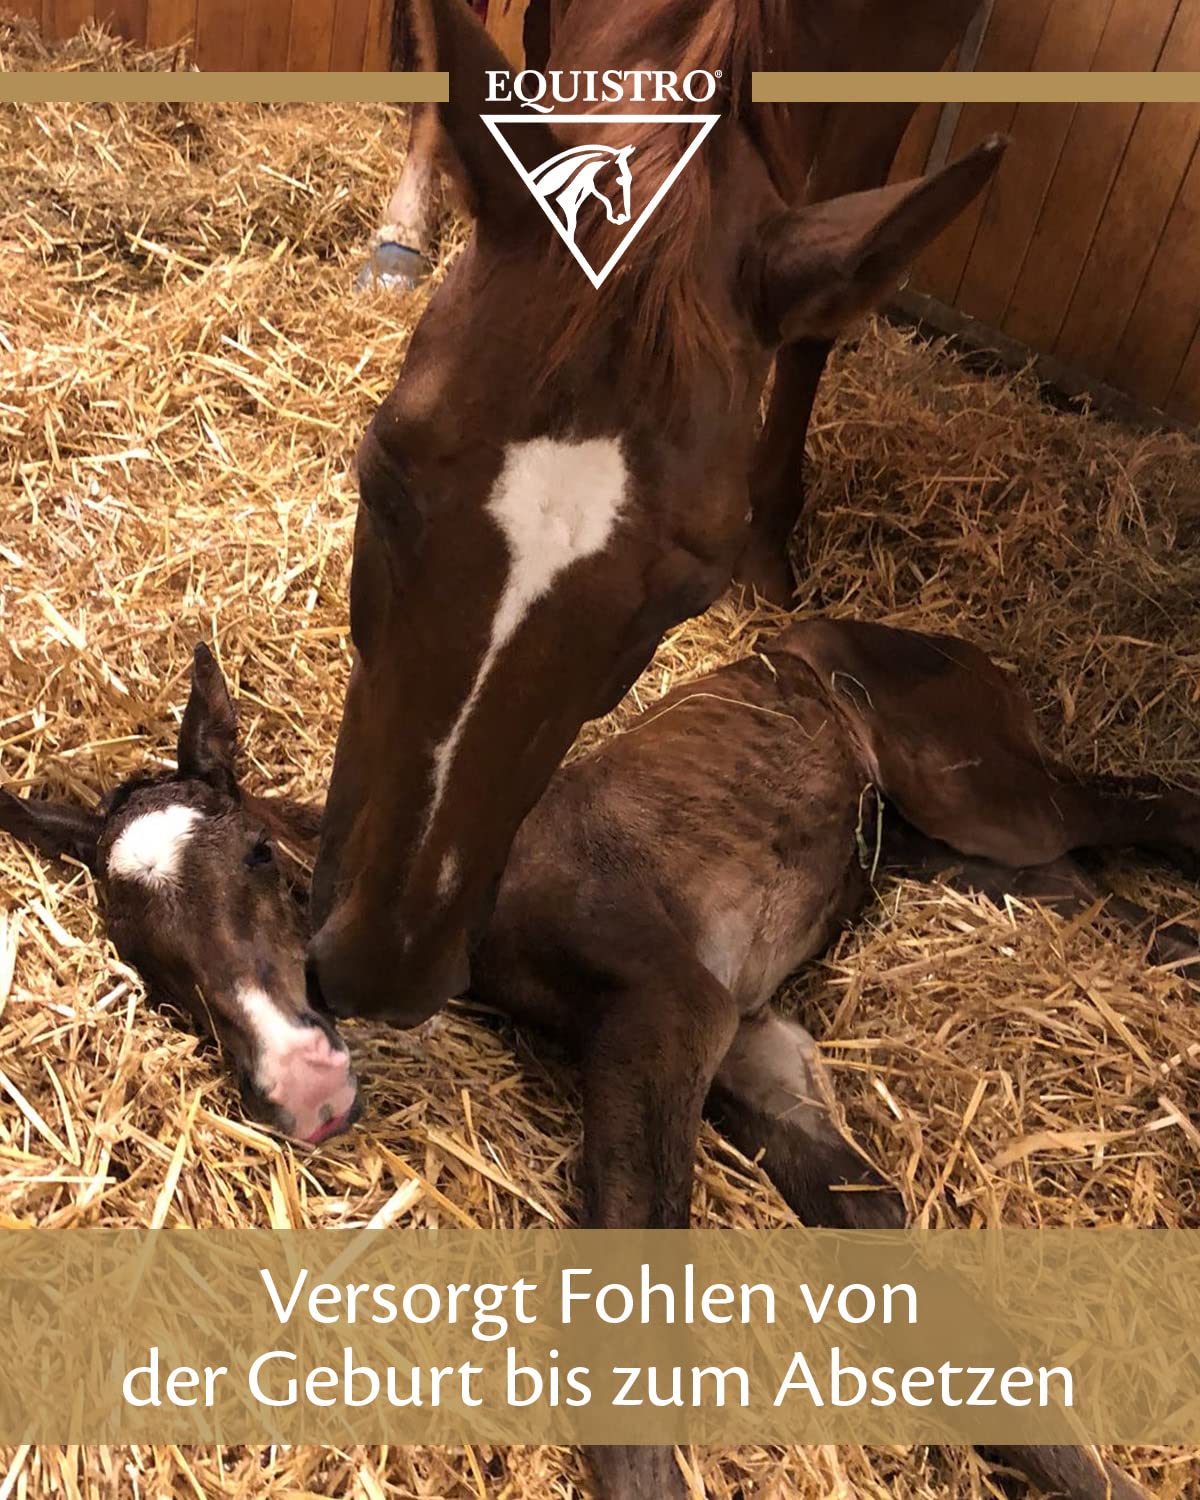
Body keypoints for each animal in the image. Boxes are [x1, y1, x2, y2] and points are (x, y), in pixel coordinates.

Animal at [6, 628, 1194, 1499]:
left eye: (259, 855)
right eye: (146, 960)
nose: (303, 1086)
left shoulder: (673, 1009)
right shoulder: (750, 1042)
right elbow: (892, 1256)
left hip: (981, 794)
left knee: (1145, 806)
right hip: (945, 851)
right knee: (1091, 888)